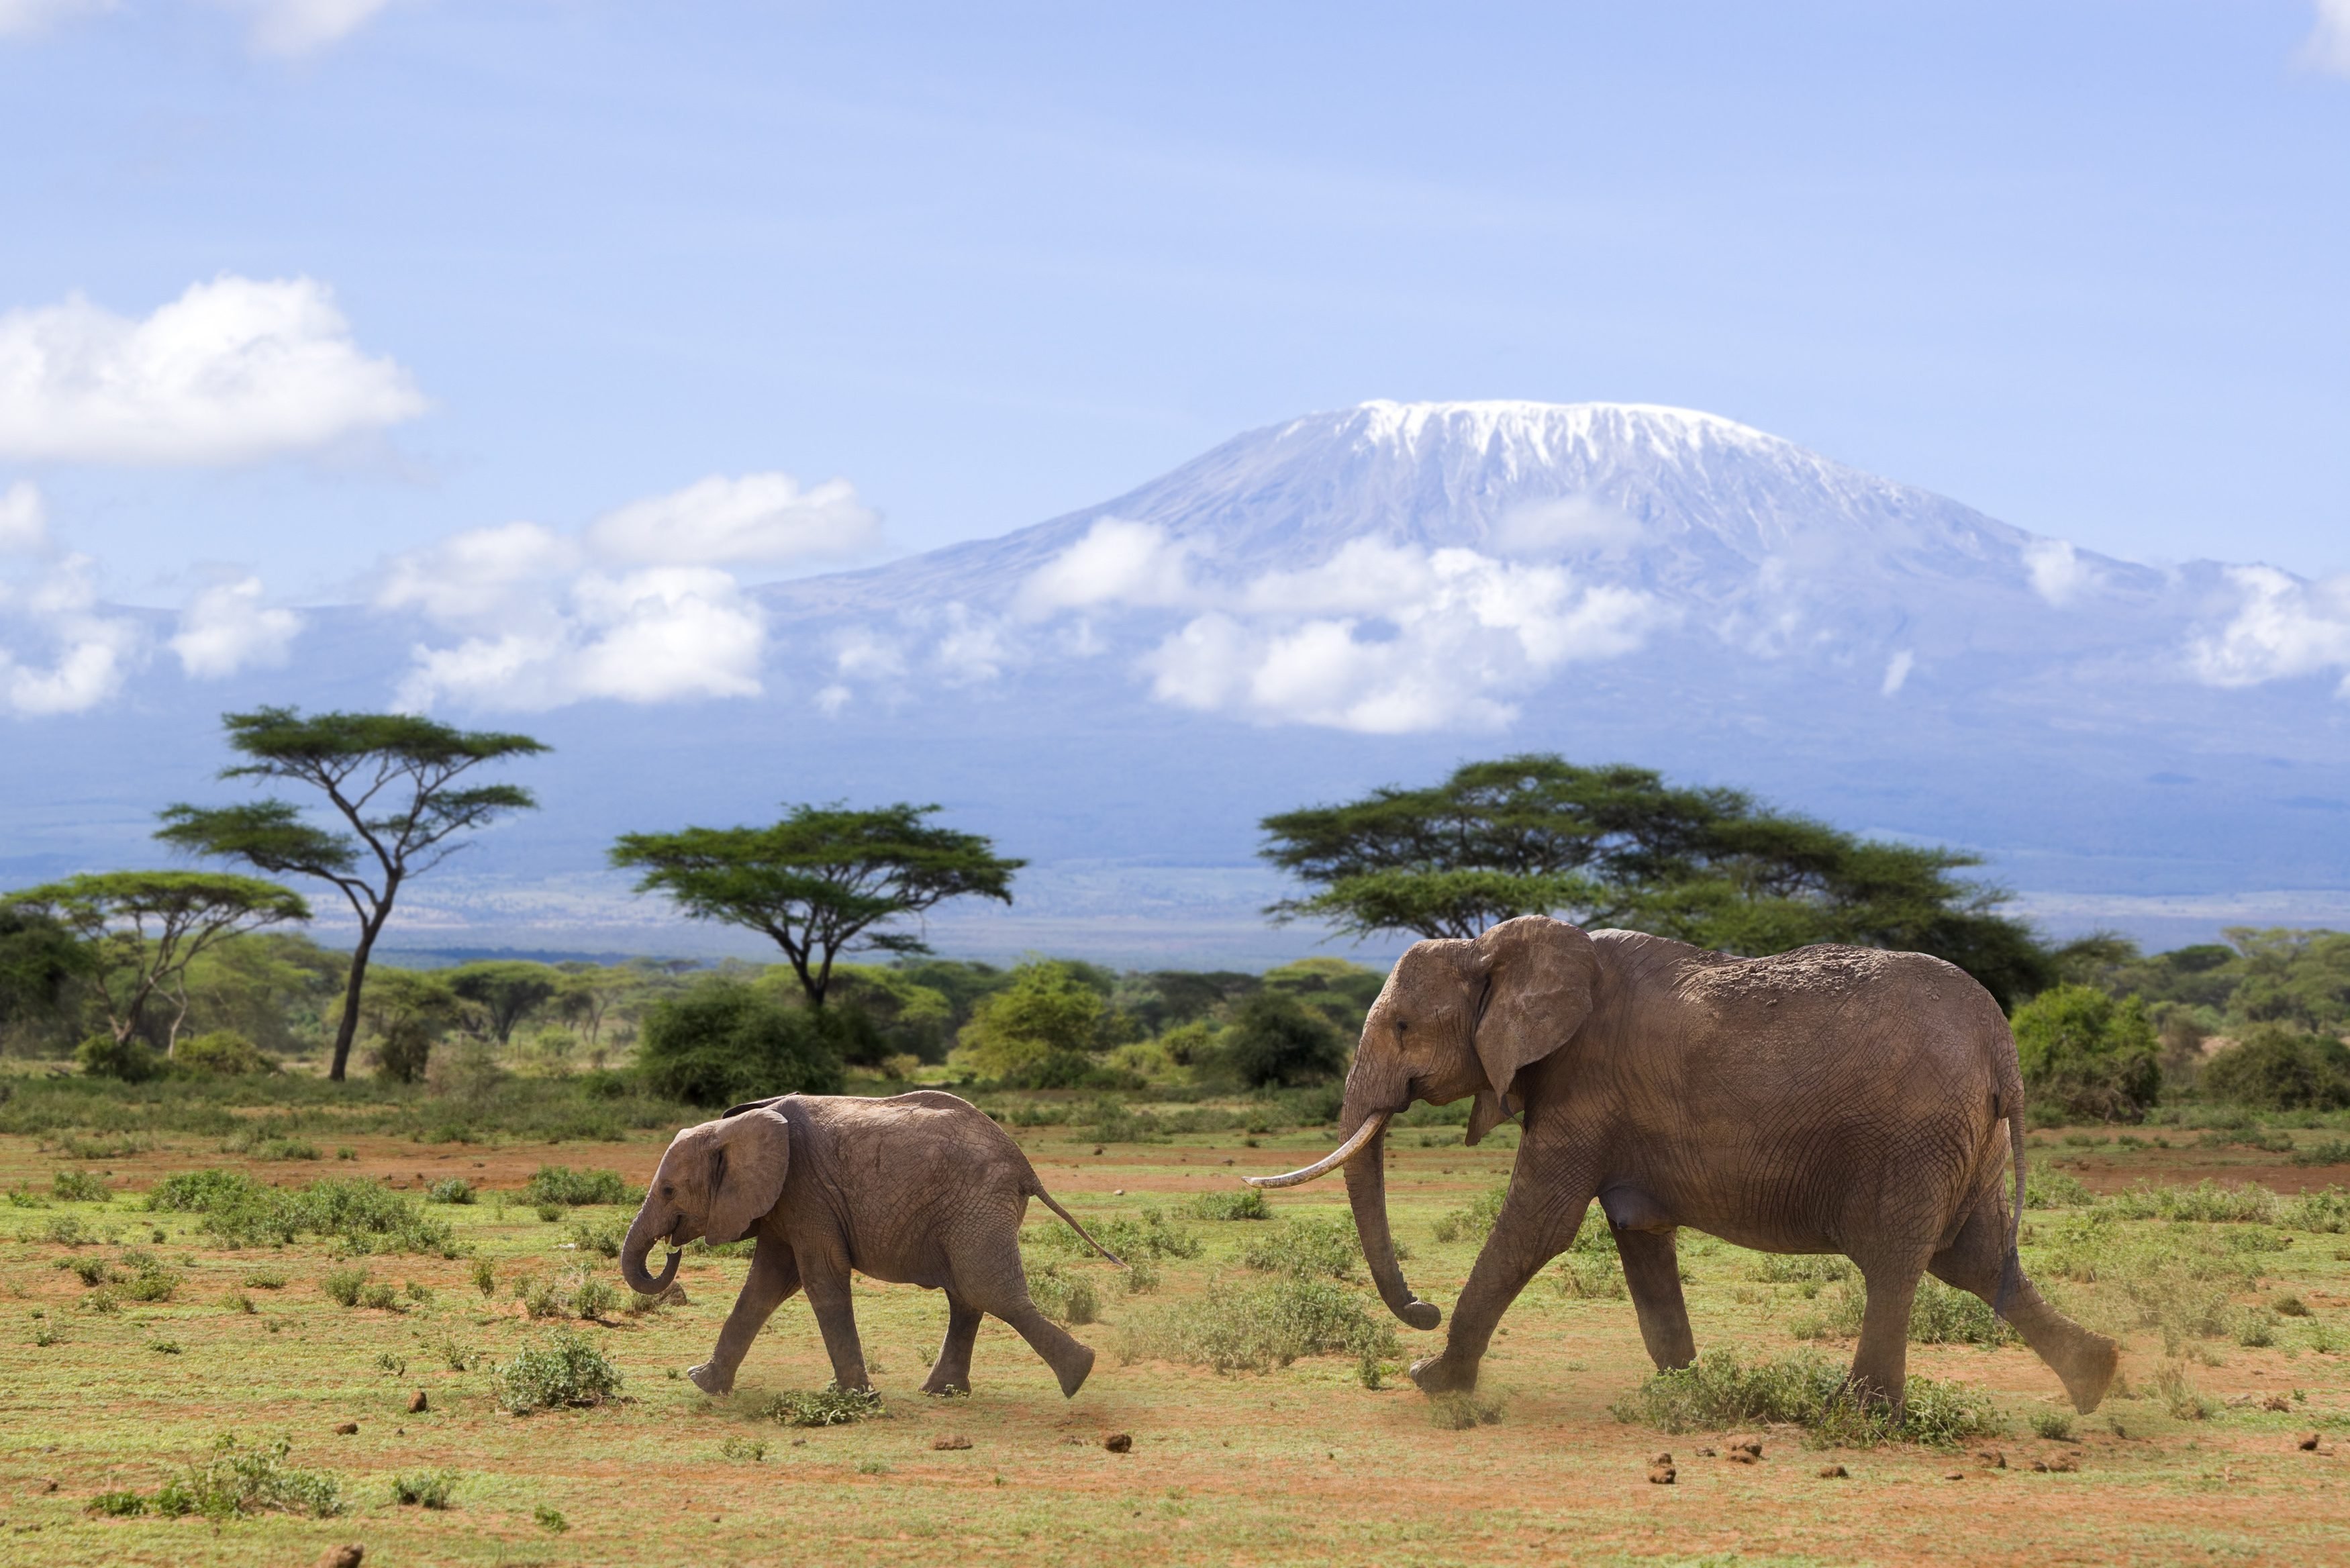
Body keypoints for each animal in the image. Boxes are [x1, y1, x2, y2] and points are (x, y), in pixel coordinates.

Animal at [616, 1091, 1109, 1401]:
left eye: (668, 1191)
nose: (671, 1249)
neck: (736, 1127)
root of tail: (1025, 1166)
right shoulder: (785, 1202)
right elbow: (764, 1287)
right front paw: (703, 1383)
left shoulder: (806, 1191)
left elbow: (821, 1280)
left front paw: (855, 1397)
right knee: (967, 1296)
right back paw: (942, 1393)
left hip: (977, 1206)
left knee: (987, 1290)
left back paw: (1079, 1375)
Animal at [1259, 912, 2124, 1420]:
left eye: (1404, 1025)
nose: (1421, 1308)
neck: (1499, 948)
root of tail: (2002, 1044)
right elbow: (1638, 1233)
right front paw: (1684, 1386)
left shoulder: (1584, 1084)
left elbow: (1537, 1225)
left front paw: (1431, 1377)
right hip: (1966, 1140)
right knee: (1974, 1257)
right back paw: (2095, 1380)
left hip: (1914, 1134)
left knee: (1897, 1259)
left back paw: (1855, 1412)